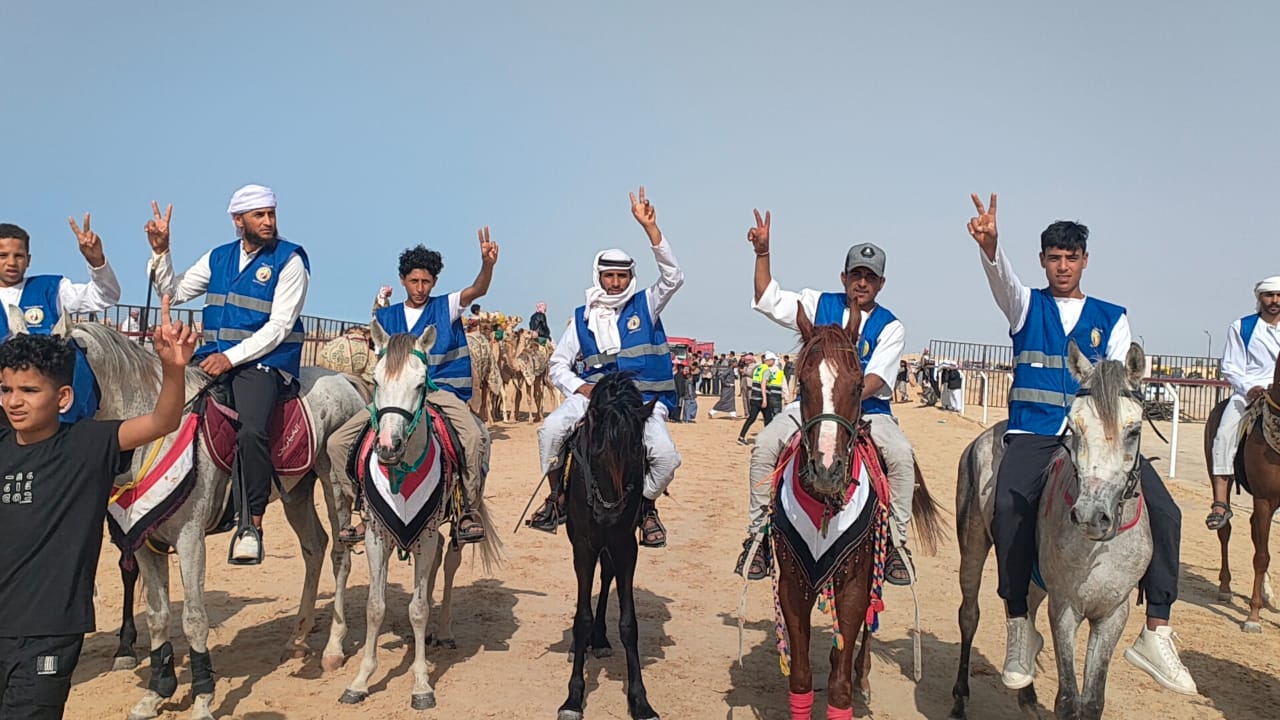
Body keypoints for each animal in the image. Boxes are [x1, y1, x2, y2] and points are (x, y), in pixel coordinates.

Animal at [339, 322, 501, 710]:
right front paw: (360, 681)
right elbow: (375, 606)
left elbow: (418, 609)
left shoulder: (424, 535)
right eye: (376, 380)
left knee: (449, 564)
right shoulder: (376, 536)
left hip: (458, 521)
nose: (387, 446)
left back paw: (442, 632)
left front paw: (422, 685)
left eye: (420, 383)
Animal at [555, 371, 660, 720]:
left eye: (637, 453)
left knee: (606, 577)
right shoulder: (584, 547)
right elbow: (582, 618)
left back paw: (599, 639)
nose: (608, 514)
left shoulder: (625, 547)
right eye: (597, 453)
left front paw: (640, 700)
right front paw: (573, 698)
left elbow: (629, 624)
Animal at [771, 306, 943, 720]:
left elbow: (840, 684)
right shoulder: (791, 585)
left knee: (866, 628)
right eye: (803, 384)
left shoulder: (853, 583)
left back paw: (862, 673)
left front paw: (850, 680)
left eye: (856, 385)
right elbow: (800, 678)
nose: (826, 469)